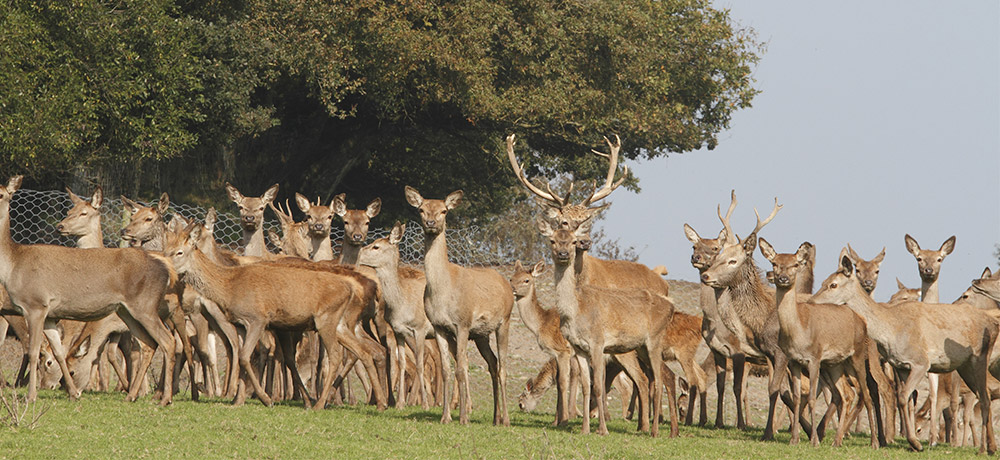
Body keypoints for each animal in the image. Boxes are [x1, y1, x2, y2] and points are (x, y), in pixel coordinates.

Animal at [0, 174, 178, 404]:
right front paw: (73, 393)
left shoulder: (35, 305)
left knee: (168, 342)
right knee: (148, 343)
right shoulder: (50, 315)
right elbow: (59, 352)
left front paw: (31, 397)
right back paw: (131, 395)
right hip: (127, 311)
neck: (13, 264)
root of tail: (166, 267)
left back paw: (165, 398)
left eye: (2, 194)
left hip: (145, 306)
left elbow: (32, 351)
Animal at [402, 185, 512, 426]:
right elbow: (445, 370)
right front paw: (445, 417)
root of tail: (507, 285)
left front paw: (463, 417)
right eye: (421, 209)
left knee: (502, 368)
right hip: (481, 334)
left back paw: (506, 420)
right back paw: (495, 417)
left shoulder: (462, 324)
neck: (442, 292)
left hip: (504, 322)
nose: (431, 222)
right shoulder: (439, 327)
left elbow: (461, 369)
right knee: (493, 363)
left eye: (444, 211)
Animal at [540, 217, 672, 436]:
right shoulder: (579, 348)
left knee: (660, 380)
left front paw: (602, 429)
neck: (575, 312)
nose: (563, 254)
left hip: (655, 341)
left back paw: (654, 431)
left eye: (573, 241)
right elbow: (586, 386)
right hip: (642, 347)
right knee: (652, 379)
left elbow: (599, 387)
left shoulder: (597, 342)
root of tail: (671, 307)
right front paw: (585, 429)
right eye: (552, 240)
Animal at [760, 239, 880, 448]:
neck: (799, 331)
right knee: (845, 394)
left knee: (866, 394)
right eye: (774, 263)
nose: (782, 278)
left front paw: (814, 440)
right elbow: (797, 397)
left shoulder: (814, 358)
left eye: (795, 264)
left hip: (857, 357)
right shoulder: (794, 361)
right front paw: (794, 439)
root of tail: (861, 319)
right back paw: (837, 441)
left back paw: (874, 442)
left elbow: (811, 399)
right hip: (836, 365)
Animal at [808, 253, 996, 454]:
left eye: (833, 284)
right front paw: (913, 442)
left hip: (980, 357)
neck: (892, 330)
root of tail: (992, 324)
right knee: (983, 395)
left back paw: (984, 448)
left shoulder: (921, 363)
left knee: (985, 398)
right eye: (823, 281)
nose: (811, 302)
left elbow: (904, 396)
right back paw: (991, 446)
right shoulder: (901, 366)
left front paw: (915, 442)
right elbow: (905, 399)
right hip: (965, 366)